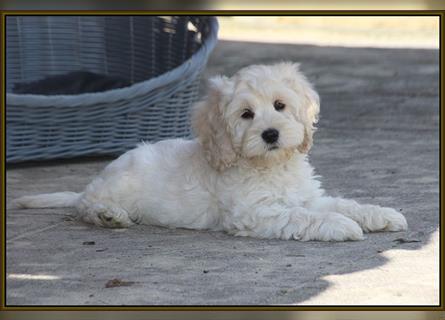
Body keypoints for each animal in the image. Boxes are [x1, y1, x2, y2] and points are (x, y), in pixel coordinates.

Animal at [13, 62, 406, 241]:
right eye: (246, 114)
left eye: (280, 105)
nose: (271, 134)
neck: (270, 166)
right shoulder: (254, 213)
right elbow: (305, 217)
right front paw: (341, 225)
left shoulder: (308, 197)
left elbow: (341, 203)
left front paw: (380, 214)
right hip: (113, 187)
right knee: (85, 206)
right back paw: (109, 215)